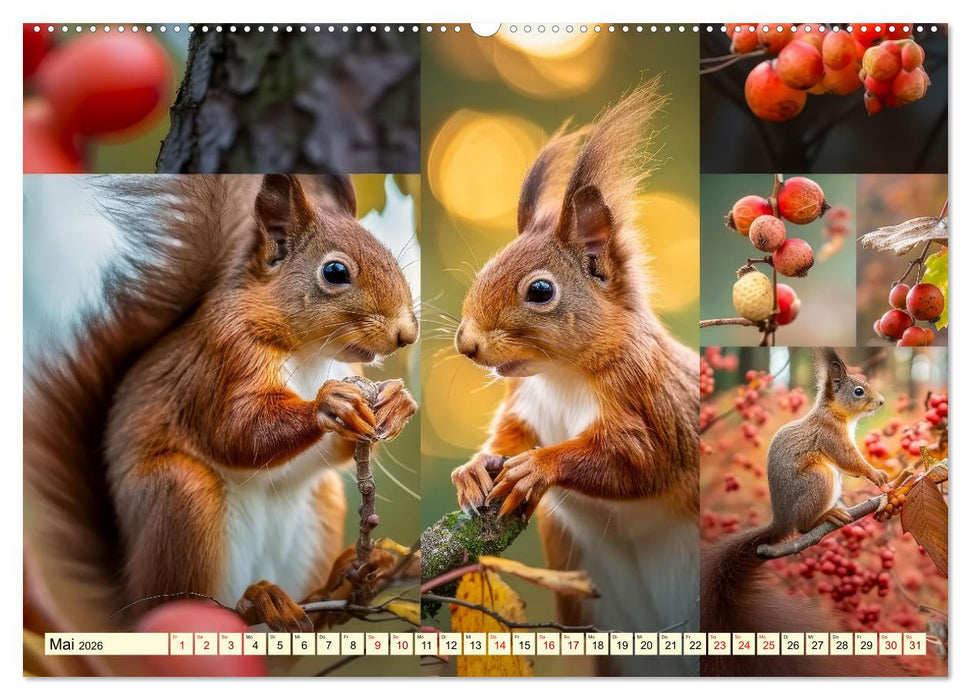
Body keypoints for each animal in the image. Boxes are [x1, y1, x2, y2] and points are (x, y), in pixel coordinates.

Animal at [24, 174, 418, 634]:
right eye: (335, 272)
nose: (407, 334)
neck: (308, 353)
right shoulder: (222, 358)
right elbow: (236, 431)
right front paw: (330, 403)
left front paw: (397, 403)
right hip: (182, 498)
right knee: (188, 598)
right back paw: (256, 602)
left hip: (322, 506)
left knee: (311, 617)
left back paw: (335, 588)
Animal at [449, 80, 700, 676]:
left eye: (540, 291)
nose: (467, 343)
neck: (562, 376)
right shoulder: (525, 406)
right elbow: (507, 438)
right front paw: (473, 470)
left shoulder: (654, 406)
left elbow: (637, 459)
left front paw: (538, 467)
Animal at [700, 347, 900, 676]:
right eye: (858, 391)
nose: (882, 402)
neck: (835, 415)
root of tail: (781, 519)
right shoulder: (831, 437)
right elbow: (850, 460)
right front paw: (876, 474)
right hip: (819, 479)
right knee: (803, 527)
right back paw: (827, 516)